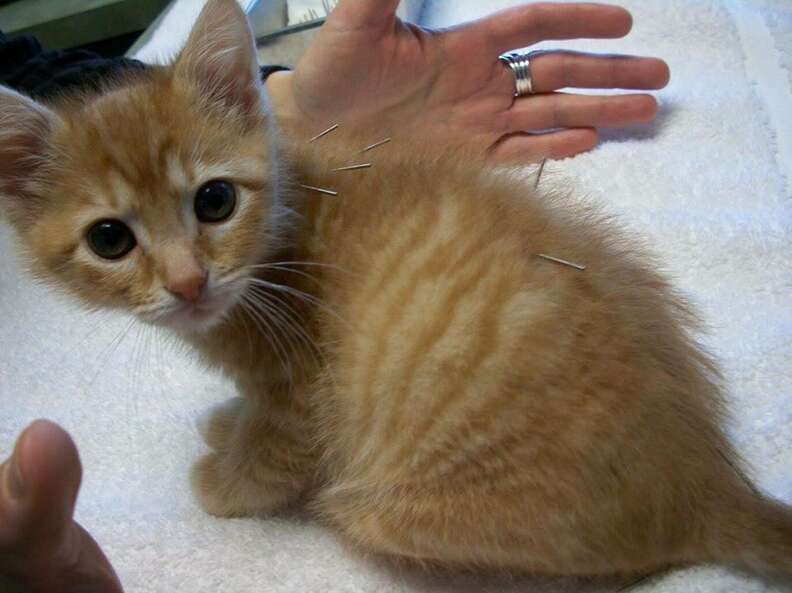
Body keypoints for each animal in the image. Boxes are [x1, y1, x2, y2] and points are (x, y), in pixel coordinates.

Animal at [0, 0, 788, 580]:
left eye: (215, 200)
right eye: (110, 239)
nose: (189, 282)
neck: (277, 241)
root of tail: (709, 482)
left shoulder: (305, 390)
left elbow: (276, 451)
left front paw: (227, 481)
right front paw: (229, 422)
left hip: (385, 509)